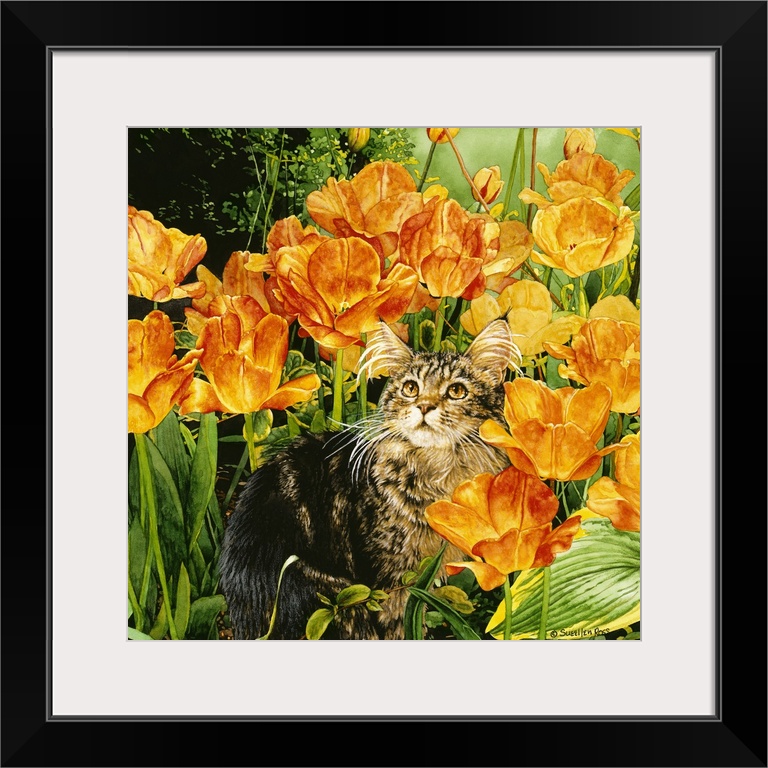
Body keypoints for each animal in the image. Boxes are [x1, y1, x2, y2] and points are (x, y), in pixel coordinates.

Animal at [219, 320, 520, 640]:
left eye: (457, 391)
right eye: (411, 388)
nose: (425, 407)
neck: (436, 471)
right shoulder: (393, 577)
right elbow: (400, 627)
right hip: (344, 601)